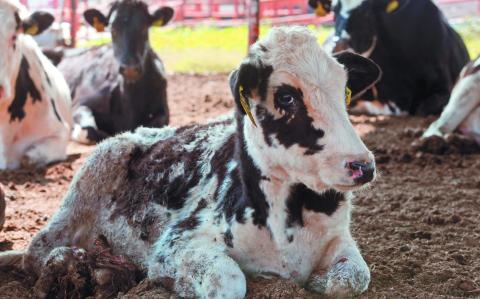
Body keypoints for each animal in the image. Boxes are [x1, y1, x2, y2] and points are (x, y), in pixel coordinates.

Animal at [0, 27, 382, 298]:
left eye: (345, 92)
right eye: (286, 96)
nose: (362, 166)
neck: (284, 223)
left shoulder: (339, 238)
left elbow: (351, 279)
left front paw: (319, 281)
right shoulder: (177, 243)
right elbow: (228, 281)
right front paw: (173, 283)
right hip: (81, 191)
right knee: (36, 252)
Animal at [57, 0, 174, 145]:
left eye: (144, 28)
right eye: (113, 30)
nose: (130, 68)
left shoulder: (163, 108)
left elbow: (156, 124)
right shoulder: (79, 103)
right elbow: (89, 130)